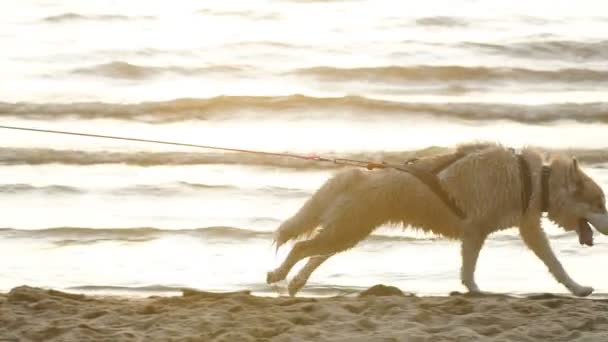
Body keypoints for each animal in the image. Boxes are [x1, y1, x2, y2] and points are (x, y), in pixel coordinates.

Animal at [266, 143, 608, 296]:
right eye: (599, 203)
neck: (535, 179)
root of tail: (357, 175)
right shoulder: (476, 232)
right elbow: (469, 269)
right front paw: (475, 291)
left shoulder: (527, 228)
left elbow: (554, 264)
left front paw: (578, 288)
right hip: (346, 230)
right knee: (301, 248)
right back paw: (279, 274)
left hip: (348, 232)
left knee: (316, 255)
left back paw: (296, 282)